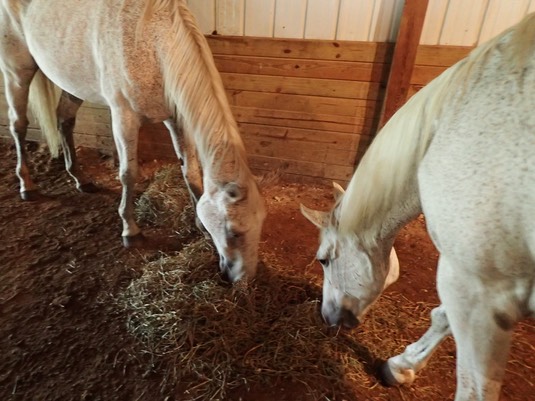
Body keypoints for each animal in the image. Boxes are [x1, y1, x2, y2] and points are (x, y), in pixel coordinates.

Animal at [0, 0, 266, 283]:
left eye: (261, 223)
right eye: (234, 232)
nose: (243, 281)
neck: (151, 44)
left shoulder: (176, 118)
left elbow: (190, 171)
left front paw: (198, 223)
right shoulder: (123, 117)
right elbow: (129, 174)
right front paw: (131, 231)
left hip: (71, 84)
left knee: (64, 120)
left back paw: (80, 179)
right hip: (17, 73)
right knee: (18, 125)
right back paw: (27, 186)